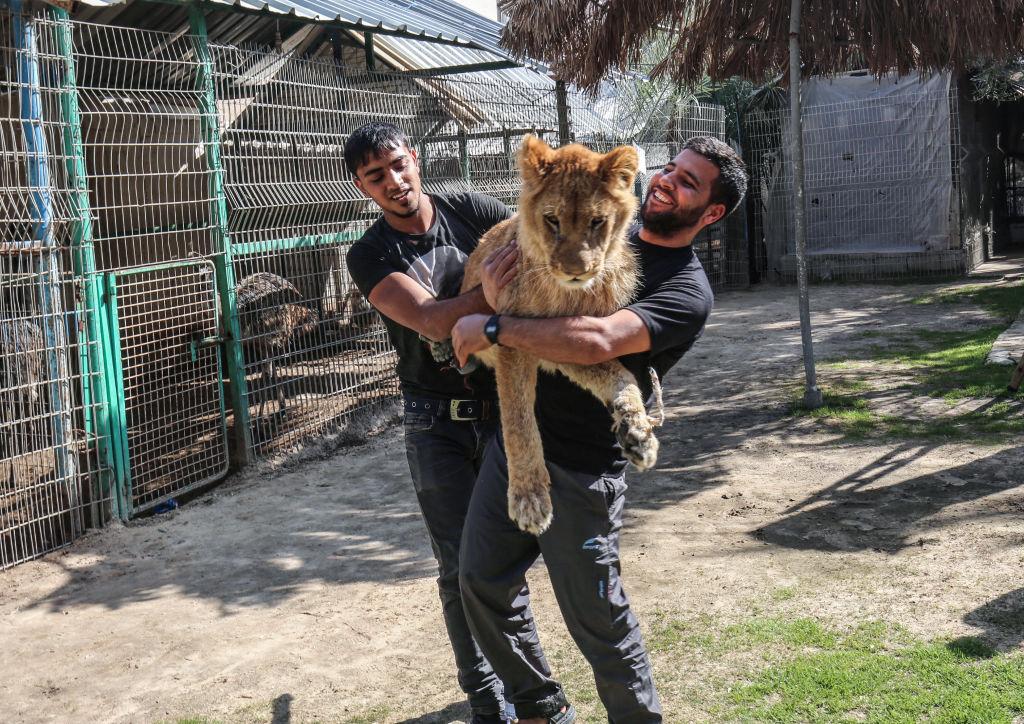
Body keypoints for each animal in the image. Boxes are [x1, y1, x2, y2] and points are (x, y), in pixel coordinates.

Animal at [460, 136, 659, 535]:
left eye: (597, 221)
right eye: (552, 220)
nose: (575, 271)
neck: (568, 294)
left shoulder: (574, 342)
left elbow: (622, 376)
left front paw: (638, 432)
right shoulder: (513, 341)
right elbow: (519, 423)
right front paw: (529, 499)